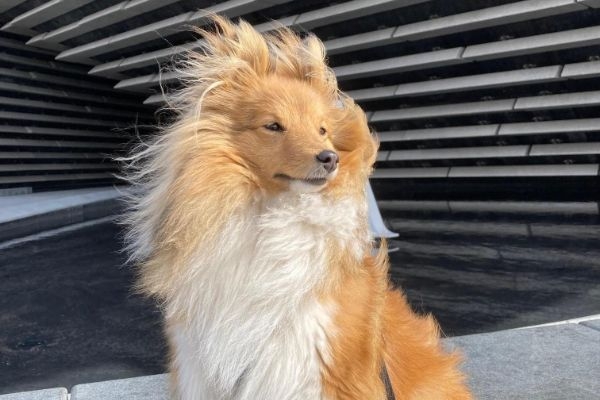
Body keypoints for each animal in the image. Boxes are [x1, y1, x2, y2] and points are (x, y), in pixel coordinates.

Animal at [123, 15, 474, 400]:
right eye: (273, 126)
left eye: (322, 130)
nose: (330, 158)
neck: (271, 214)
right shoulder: (198, 361)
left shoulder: (312, 357)